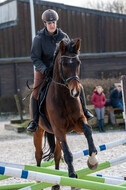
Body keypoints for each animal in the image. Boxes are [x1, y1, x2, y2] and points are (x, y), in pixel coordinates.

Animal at [32, 37, 98, 189]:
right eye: (63, 64)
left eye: (78, 62)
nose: (75, 91)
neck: (64, 96)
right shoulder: (59, 129)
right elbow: (68, 153)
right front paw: (73, 176)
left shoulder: (79, 122)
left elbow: (88, 130)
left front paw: (93, 160)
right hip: (39, 131)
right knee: (38, 154)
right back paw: (38, 179)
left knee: (57, 154)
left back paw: (56, 183)